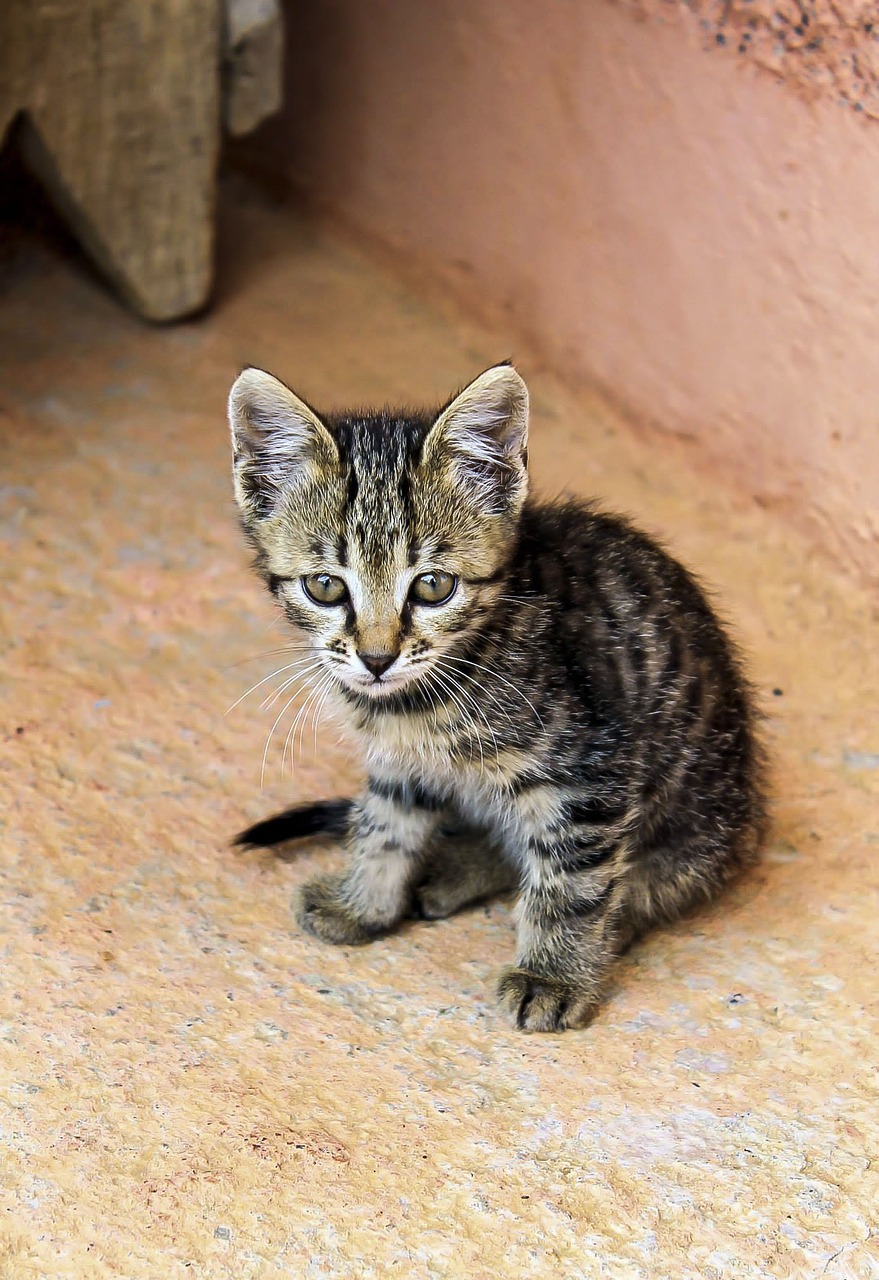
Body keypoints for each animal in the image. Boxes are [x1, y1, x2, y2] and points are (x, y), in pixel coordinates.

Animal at [230, 360, 767, 1029]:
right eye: (325, 586)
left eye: (433, 586)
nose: (376, 659)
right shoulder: (401, 764)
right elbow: (384, 826)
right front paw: (363, 904)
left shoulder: (594, 771)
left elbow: (572, 882)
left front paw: (552, 976)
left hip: (699, 823)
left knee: (639, 881)